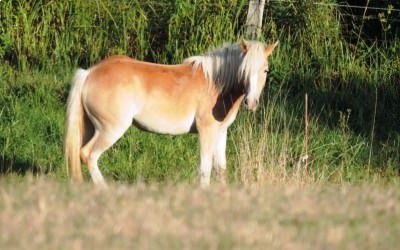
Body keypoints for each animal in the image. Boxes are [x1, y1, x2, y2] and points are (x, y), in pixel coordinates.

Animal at [65, 39, 278, 188]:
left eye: (265, 70)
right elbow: (205, 169)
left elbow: (221, 168)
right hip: (110, 130)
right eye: (244, 70)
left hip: (89, 128)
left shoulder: (220, 132)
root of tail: (89, 73)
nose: (251, 103)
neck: (216, 84)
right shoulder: (206, 131)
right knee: (89, 155)